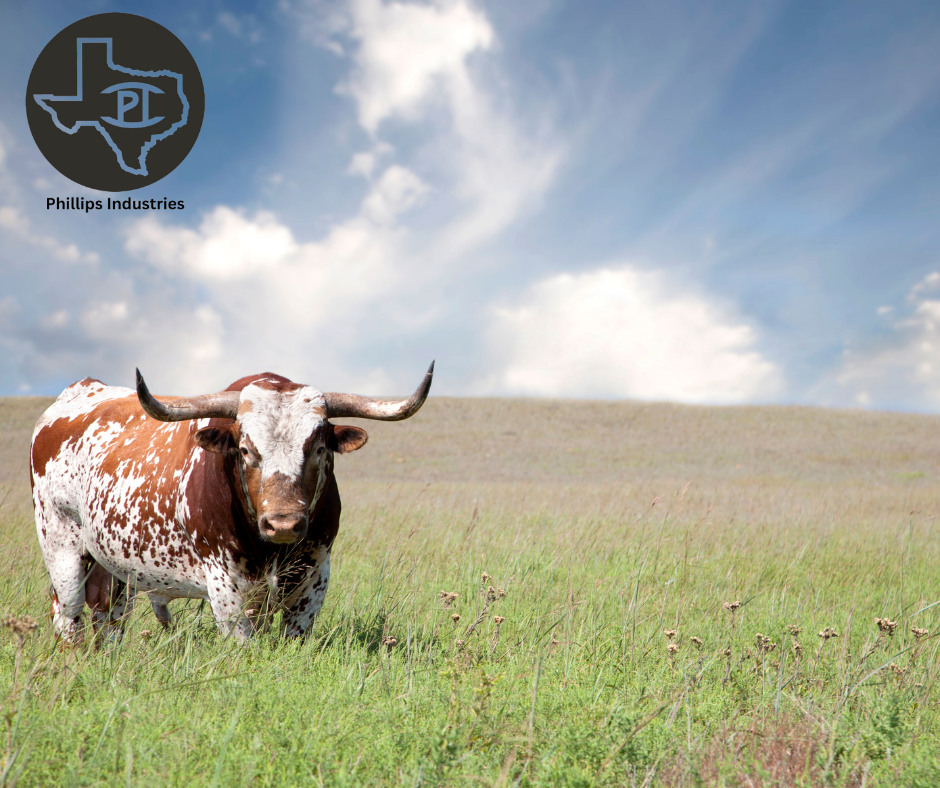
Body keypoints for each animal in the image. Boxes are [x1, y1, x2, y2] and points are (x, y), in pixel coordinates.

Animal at [29, 364, 434, 640]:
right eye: (244, 449)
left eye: (319, 448)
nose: (283, 523)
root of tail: (79, 391)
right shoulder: (226, 588)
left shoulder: (314, 579)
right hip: (61, 549)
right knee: (67, 615)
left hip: (113, 568)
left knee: (108, 617)